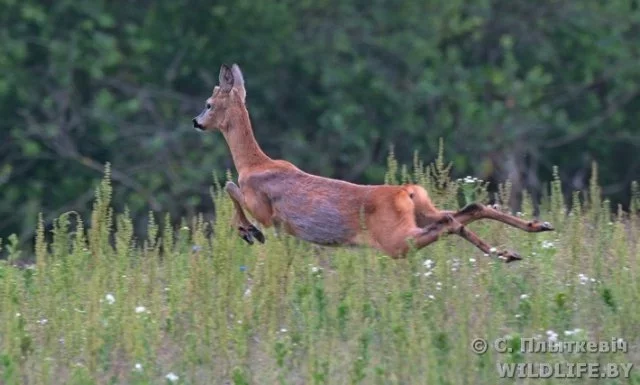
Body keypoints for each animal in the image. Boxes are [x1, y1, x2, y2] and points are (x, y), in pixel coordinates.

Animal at [191, 63, 556, 260]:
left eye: (208, 103)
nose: (196, 122)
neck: (254, 163)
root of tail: (406, 191)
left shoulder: (266, 209)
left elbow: (230, 186)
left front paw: (248, 231)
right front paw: (247, 231)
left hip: (395, 238)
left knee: (450, 223)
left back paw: (508, 250)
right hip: (422, 211)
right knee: (467, 210)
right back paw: (526, 237)